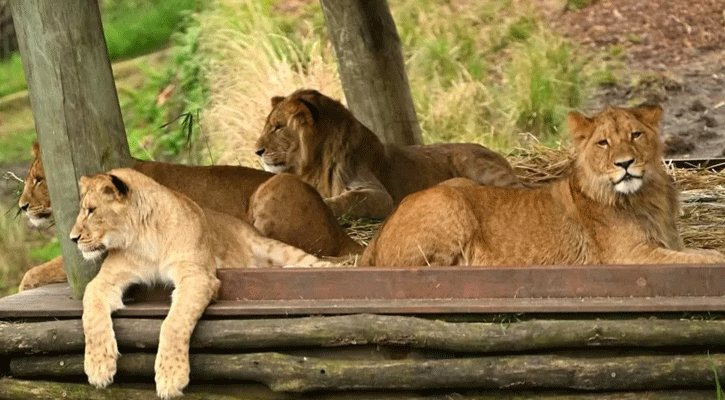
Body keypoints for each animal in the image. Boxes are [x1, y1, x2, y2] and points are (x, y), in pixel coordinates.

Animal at [18, 142, 362, 290]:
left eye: (38, 179)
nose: (21, 206)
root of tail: (342, 231)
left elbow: (47, 267)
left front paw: (24, 284)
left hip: (274, 188)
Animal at [73, 168, 334, 396]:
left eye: (91, 210)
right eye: (84, 210)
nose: (73, 238)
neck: (142, 238)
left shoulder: (197, 275)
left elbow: (174, 322)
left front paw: (171, 376)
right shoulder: (106, 279)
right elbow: (91, 312)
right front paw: (98, 366)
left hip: (272, 247)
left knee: (316, 262)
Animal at [360, 104, 724, 268]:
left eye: (636, 135)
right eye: (603, 143)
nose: (625, 163)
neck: (646, 197)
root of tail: (376, 236)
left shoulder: (668, 245)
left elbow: (707, 253)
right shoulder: (630, 256)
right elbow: (704, 261)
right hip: (450, 202)